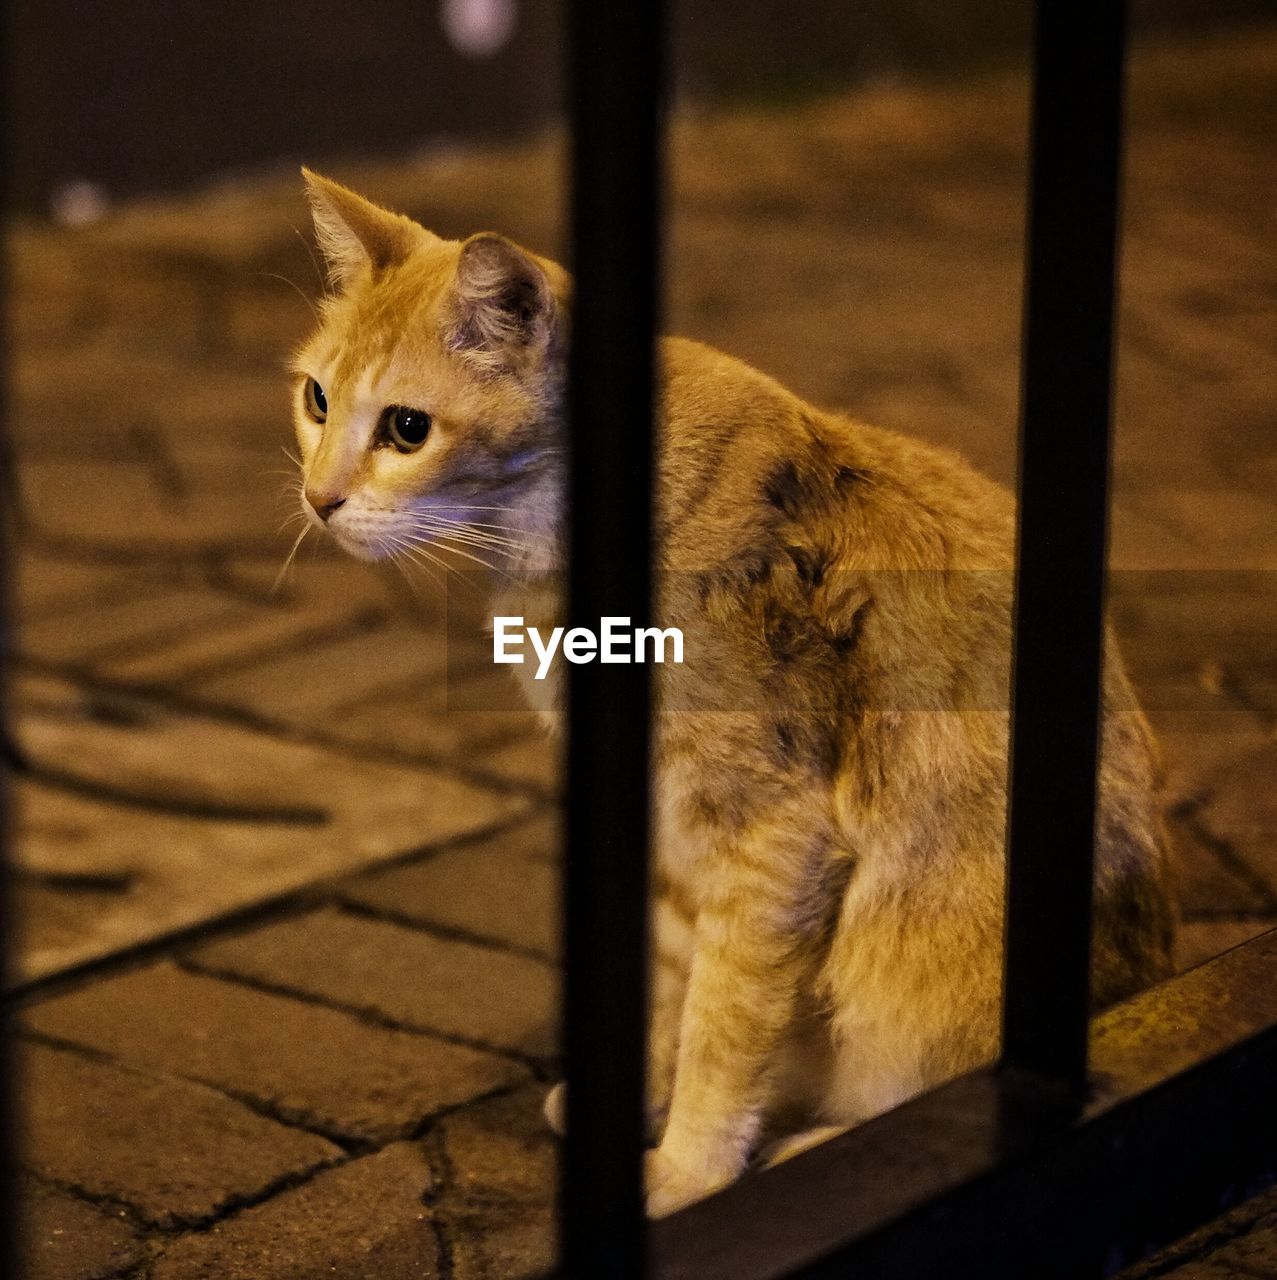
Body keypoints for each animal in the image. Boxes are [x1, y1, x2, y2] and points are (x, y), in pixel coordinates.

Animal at [293, 172, 1177, 1218]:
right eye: (315, 400)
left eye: (406, 429)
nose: (317, 499)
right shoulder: (670, 836)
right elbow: (675, 984)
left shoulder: (770, 839)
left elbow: (725, 1021)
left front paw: (687, 1166)